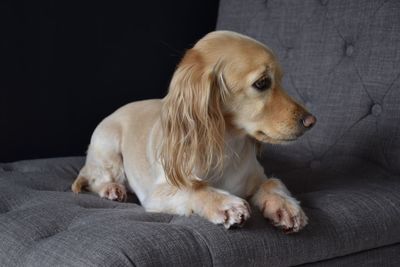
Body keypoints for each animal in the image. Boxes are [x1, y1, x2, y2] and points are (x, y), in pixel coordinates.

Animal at [71, 30, 316, 232]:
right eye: (262, 83)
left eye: (281, 80)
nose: (311, 121)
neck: (227, 143)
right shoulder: (159, 193)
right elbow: (196, 188)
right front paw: (225, 204)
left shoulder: (257, 176)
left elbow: (272, 183)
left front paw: (286, 206)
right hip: (108, 146)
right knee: (96, 178)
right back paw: (112, 189)